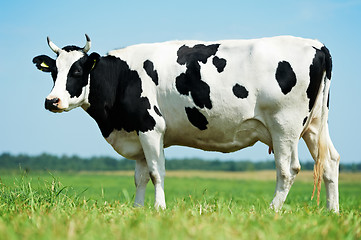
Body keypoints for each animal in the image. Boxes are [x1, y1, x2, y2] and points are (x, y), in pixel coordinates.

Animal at [32, 34, 338, 212]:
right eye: (54, 72)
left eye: (77, 70)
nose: (52, 101)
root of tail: (317, 45)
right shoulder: (137, 131)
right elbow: (140, 176)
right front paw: (137, 210)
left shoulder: (151, 126)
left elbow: (156, 173)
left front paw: (158, 209)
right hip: (314, 124)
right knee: (330, 162)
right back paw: (332, 212)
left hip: (284, 125)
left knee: (288, 169)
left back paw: (272, 211)